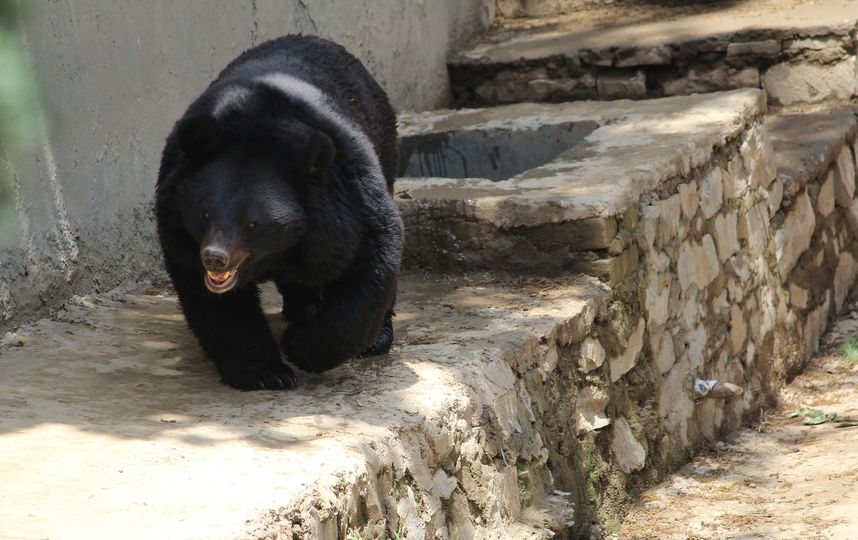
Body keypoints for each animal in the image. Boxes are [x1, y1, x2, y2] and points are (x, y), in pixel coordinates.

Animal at [155, 35, 402, 390]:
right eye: (204, 214)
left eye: (253, 224)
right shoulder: (176, 217)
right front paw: (264, 372)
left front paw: (301, 347)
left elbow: (371, 260)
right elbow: (213, 299)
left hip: (383, 141)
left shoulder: (347, 197)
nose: (215, 259)